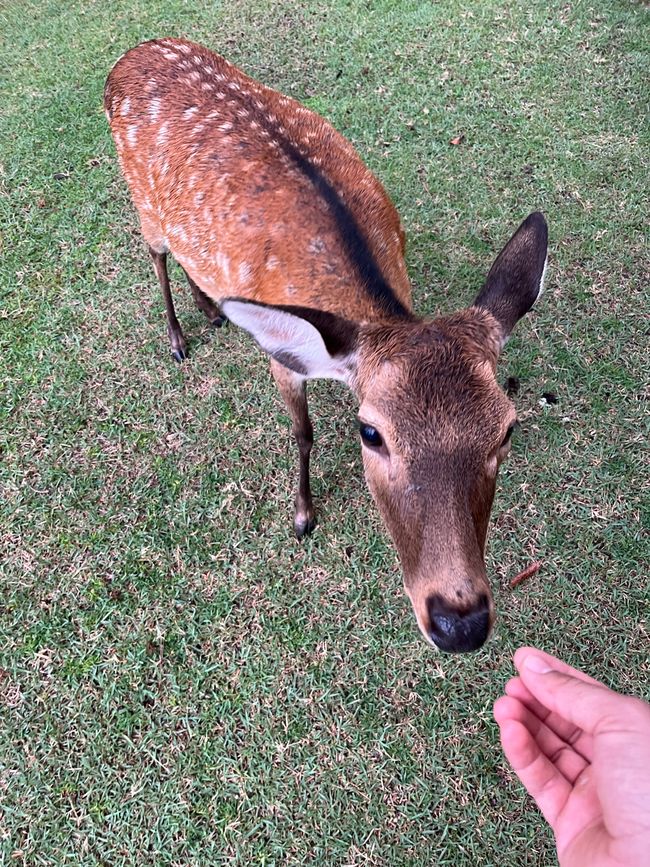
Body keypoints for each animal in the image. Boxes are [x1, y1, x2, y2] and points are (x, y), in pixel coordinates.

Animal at [105, 39, 548, 652]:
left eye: (506, 429)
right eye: (372, 433)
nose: (459, 621)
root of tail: (129, 56)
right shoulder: (282, 358)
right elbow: (303, 432)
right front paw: (303, 516)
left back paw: (211, 309)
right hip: (142, 203)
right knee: (155, 253)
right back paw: (178, 337)